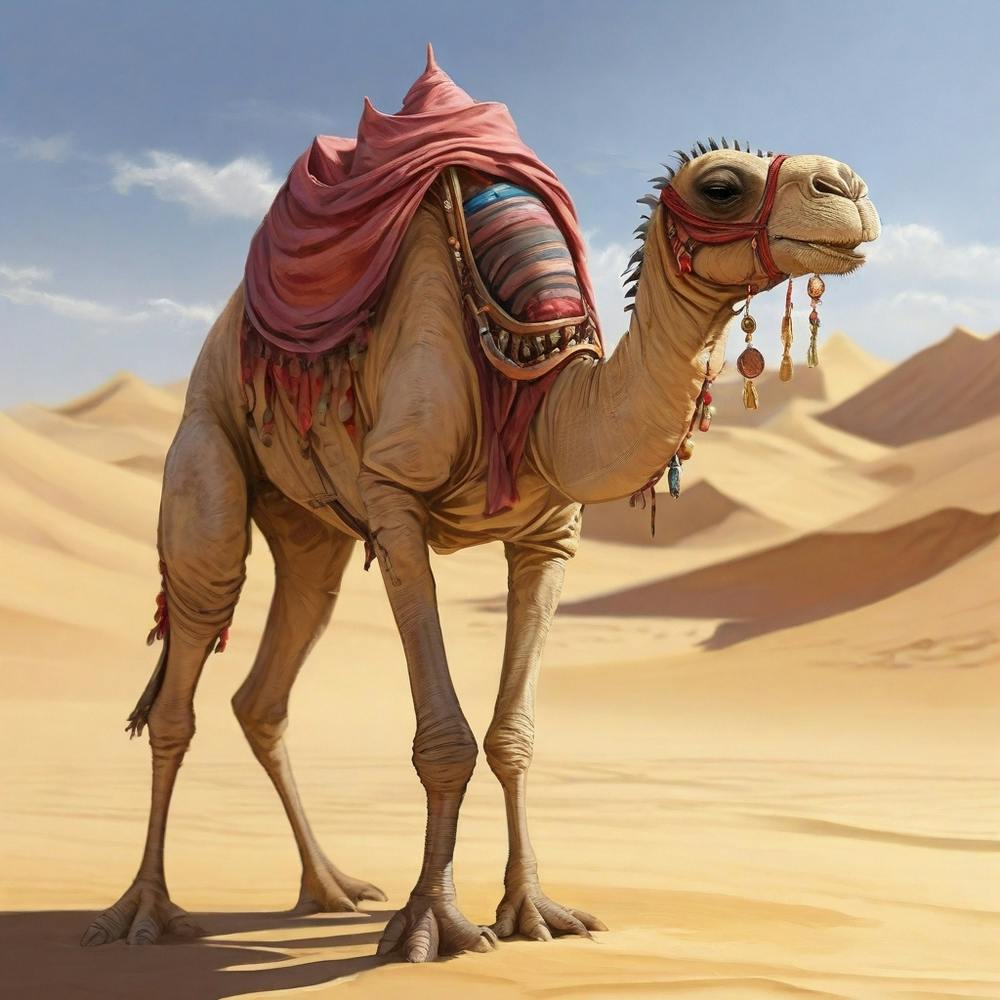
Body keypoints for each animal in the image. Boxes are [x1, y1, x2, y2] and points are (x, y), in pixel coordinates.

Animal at [81, 60, 880, 962]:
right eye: (720, 186)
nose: (846, 185)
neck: (540, 391)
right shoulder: (395, 501)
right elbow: (446, 741)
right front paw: (434, 923)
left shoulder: (548, 537)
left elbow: (512, 735)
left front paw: (533, 912)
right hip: (207, 449)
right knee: (187, 659)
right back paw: (144, 913)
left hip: (309, 525)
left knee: (270, 683)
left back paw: (330, 889)